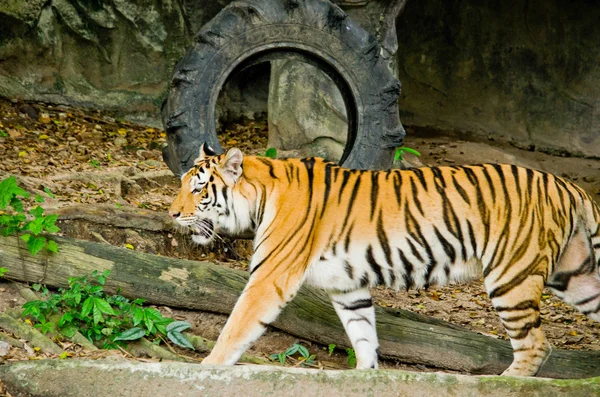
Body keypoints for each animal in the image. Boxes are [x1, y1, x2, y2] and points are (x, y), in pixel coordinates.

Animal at [168, 144, 600, 376]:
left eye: (199, 189)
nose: (172, 213)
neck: (262, 196)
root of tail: (568, 185)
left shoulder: (271, 275)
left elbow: (236, 325)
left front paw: (207, 368)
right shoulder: (348, 286)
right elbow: (363, 336)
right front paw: (366, 376)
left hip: (512, 275)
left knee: (535, 345)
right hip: (575, 275)